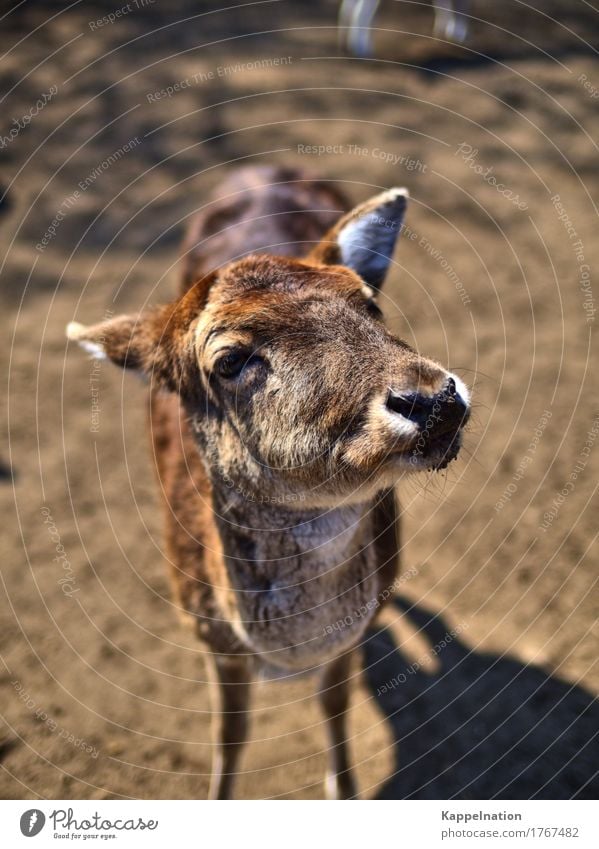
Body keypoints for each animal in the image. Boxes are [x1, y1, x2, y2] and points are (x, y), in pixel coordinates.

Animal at [68, 164, 472, 796]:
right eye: (230, 360)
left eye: (369, 303)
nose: (433, 399)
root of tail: (263, 169)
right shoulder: (211, 638)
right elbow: (230, 736)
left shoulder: (351, 633)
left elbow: (334, 707)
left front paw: (344, 791)